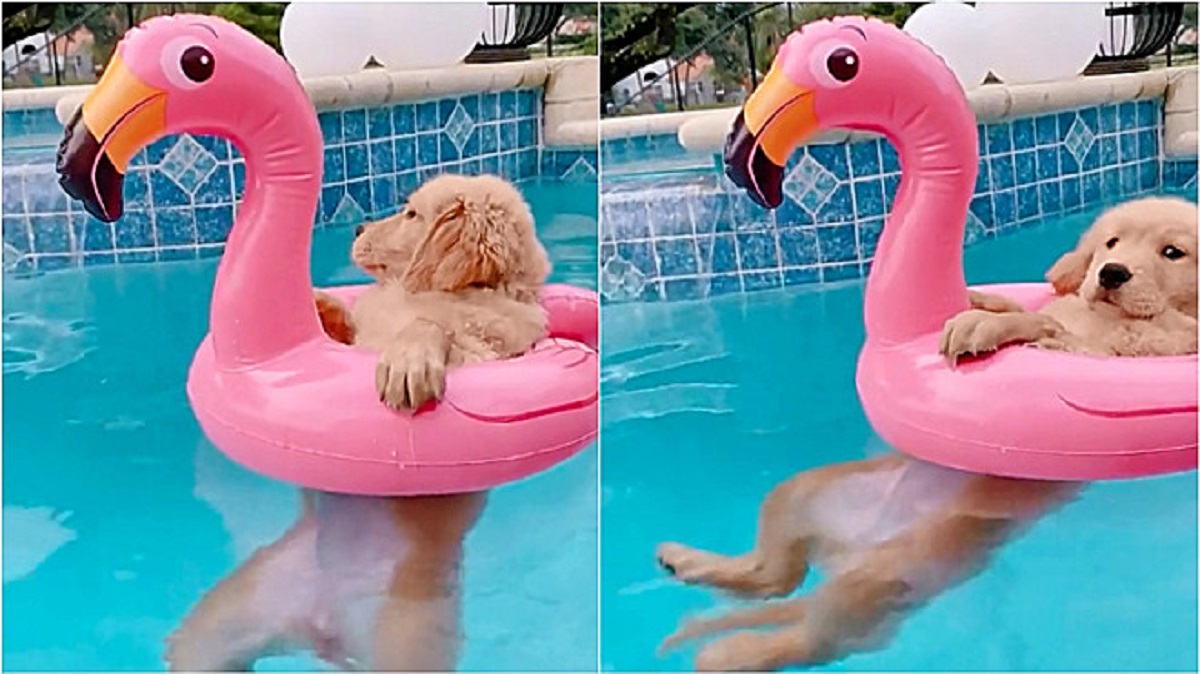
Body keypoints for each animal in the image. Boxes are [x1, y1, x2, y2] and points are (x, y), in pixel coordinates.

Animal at [940, 195, 1195, 362]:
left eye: (1173, 252)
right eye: (1112, 242)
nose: (1111, 272)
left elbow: (1047, 327)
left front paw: (981, 323)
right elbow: (1032, 313)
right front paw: (979, 302)